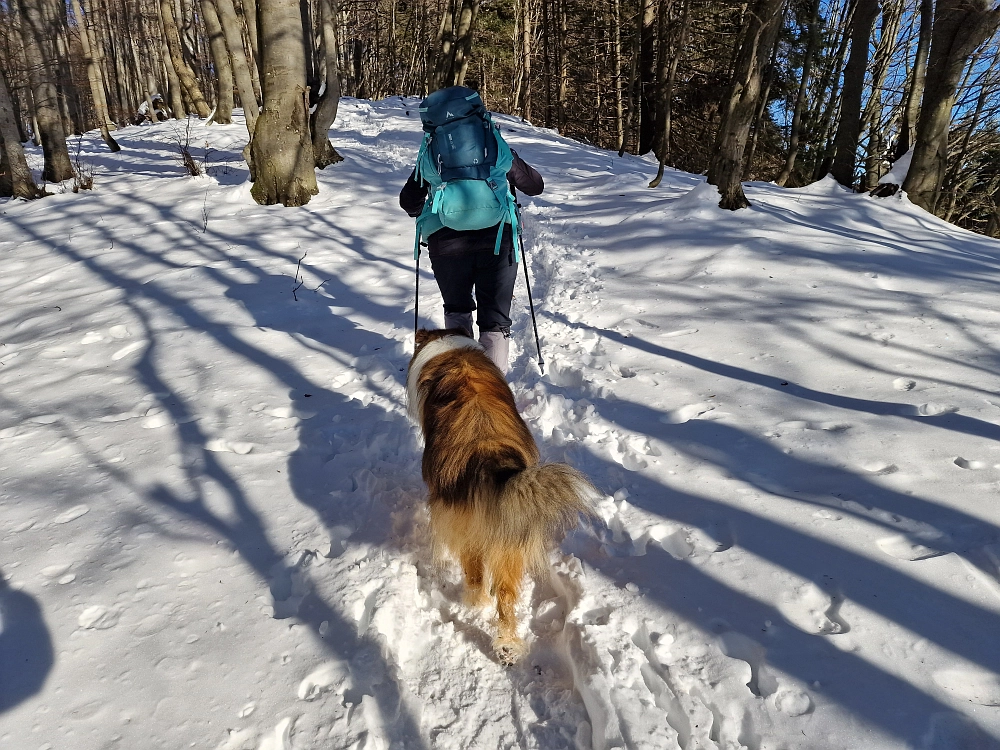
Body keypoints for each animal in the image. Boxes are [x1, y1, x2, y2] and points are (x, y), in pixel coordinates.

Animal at [404, 328, 592, 664]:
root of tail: (489, 458)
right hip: (510, 540)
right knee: (505, 595)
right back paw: (507, 646)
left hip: (469, 532)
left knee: (476, 575)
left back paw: (473, 602)